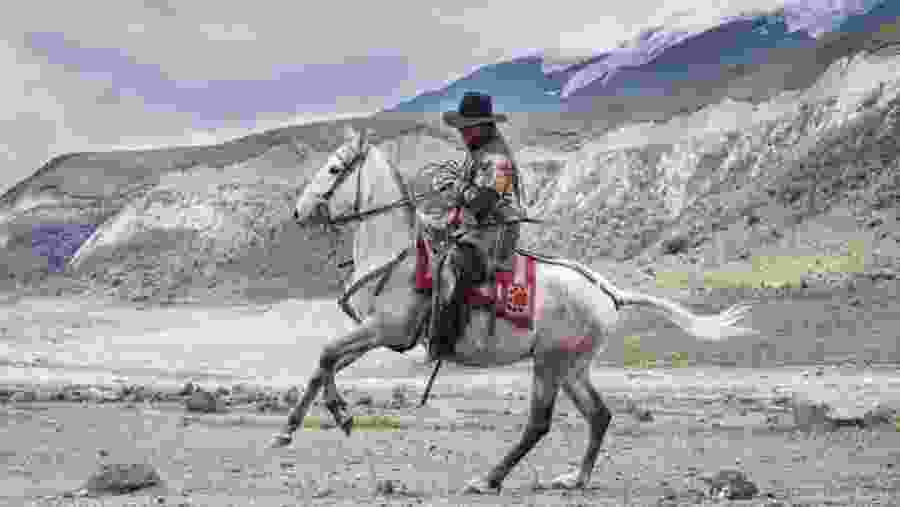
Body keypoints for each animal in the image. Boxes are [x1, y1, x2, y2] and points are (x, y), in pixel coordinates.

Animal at [270, 125, 758, 494]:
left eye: (335, 169)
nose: (299, 211)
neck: (399, 257)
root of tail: (607, 291)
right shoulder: (379, 335)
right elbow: (325, 363)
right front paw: (293, 427)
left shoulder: (384, 329)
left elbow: (326, 355)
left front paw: (340, 414)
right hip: (572, 367)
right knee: (599, 415)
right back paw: (575, 479)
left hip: (550, 363)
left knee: (539, 423)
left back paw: (489, 479)